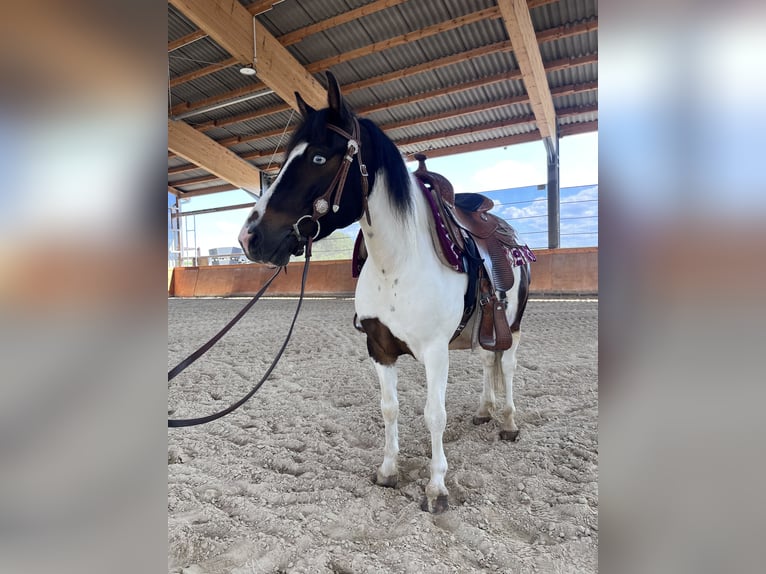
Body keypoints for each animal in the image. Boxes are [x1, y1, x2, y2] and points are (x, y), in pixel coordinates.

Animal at [240, 72, 536, 516]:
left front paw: (436, 488)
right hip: (484, 327)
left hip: (512, 324)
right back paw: (486, 411)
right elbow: (389, 408)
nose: (250, 237)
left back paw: (509, 422)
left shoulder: (436, 351)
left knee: (510, 365)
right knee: (489, 362)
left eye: (318, 158)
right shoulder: (378, 347)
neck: (397, 263)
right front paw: (388, 470)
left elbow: (434, 415)